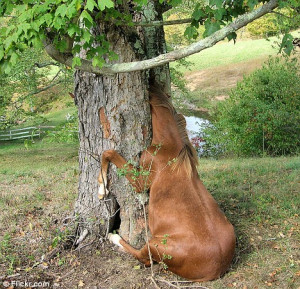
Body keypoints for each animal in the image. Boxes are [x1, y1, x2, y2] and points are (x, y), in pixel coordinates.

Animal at [97, 84, 236, 280]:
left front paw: (102, 189)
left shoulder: (141, 183)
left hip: (154, 245)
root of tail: (217, 269)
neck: (170, 147)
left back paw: (113, 237)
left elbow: (108, 153)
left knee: (144, 258)